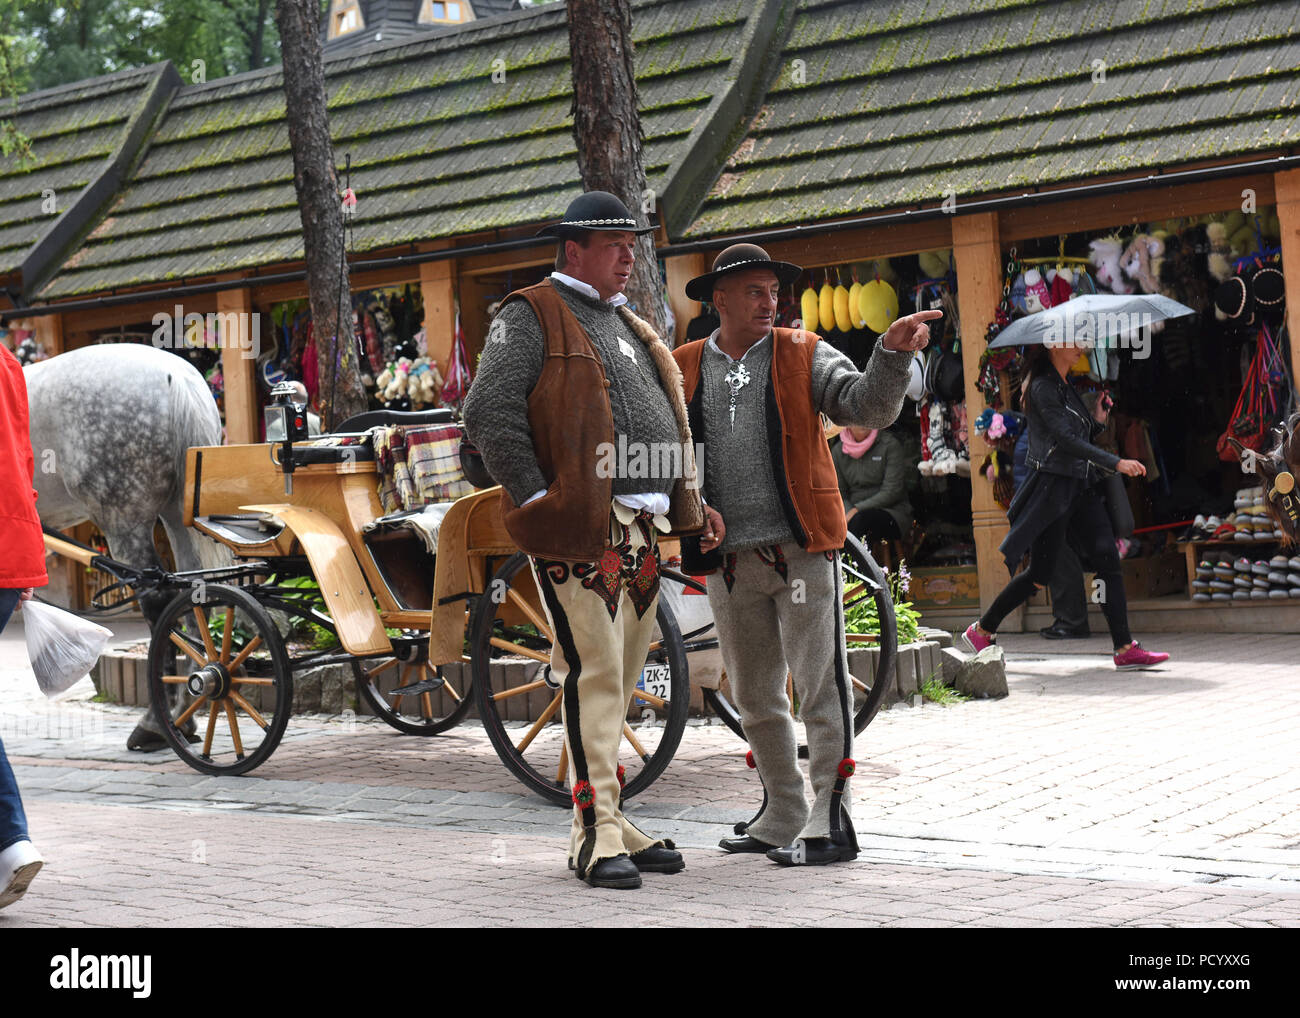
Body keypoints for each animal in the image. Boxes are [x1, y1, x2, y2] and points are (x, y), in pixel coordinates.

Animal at [25, 343, 230, 748]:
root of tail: (177, 377)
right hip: (178, 516)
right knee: (194, 596)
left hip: (124, 520)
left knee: (159, 601)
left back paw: (156, 723)